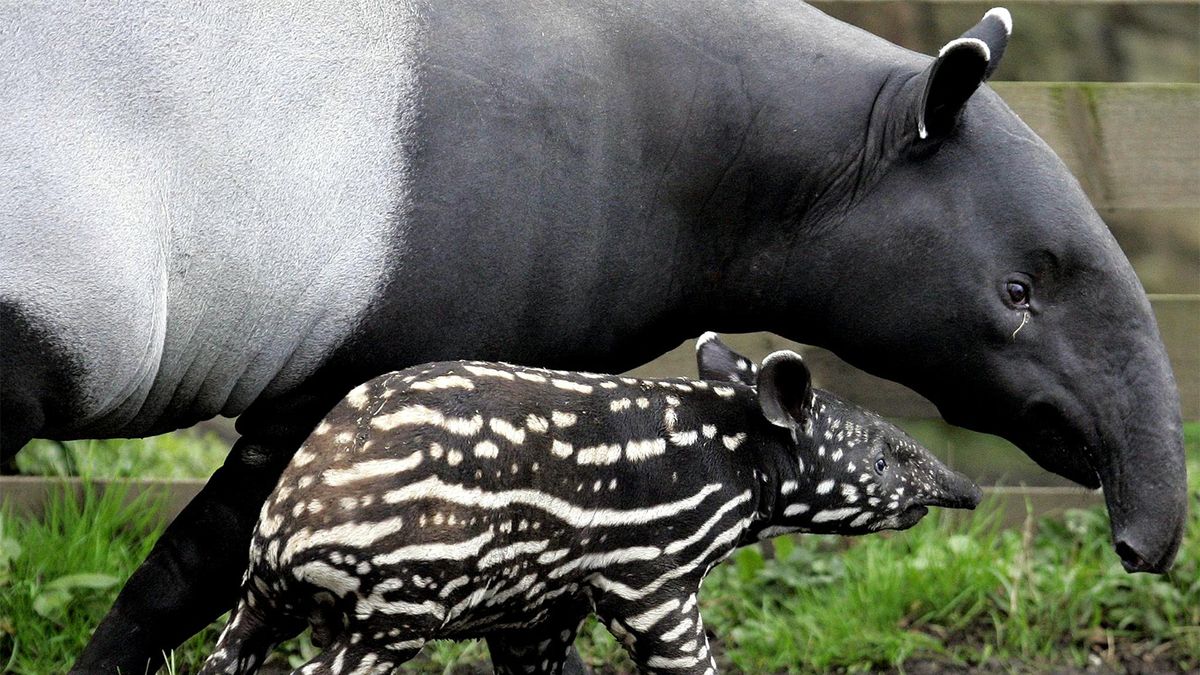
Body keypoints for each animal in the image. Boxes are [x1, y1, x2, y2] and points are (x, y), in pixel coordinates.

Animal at [201, 336, 979, 672]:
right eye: (885, 457)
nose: (965, 490)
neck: (733, 456)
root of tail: (291, 524)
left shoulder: (539, 609)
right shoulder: (651, 576)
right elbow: (684, 659)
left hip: (260, 599)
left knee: (227, 654)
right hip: (399, 604)